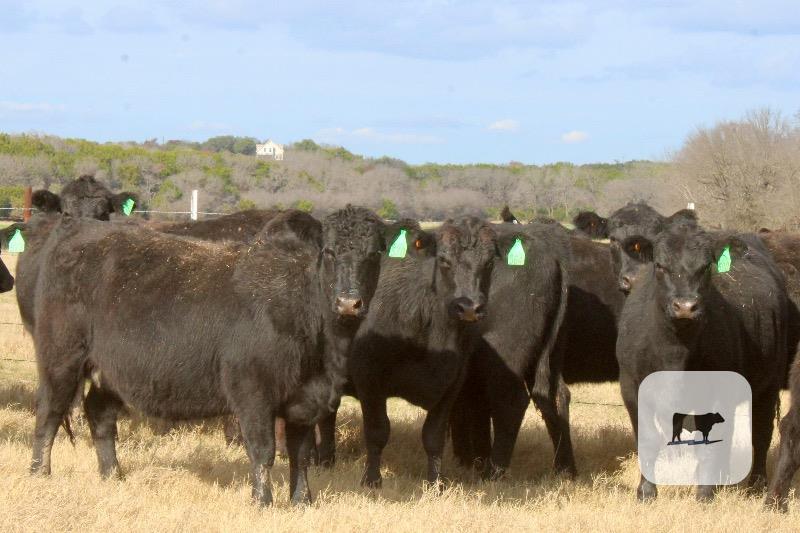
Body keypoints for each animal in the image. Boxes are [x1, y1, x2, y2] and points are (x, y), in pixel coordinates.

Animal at [27, 205, 392, 505]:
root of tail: (79, 226)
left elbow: (300, 454)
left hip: (111, 371)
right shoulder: (253, 392)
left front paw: (302, 502)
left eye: (375, 254)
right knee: (49, 412)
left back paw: (113, 475)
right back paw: (40, 473)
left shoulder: (304, 399)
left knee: (100, 415)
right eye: (329, 252)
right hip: (61, 359)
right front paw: (262, 502)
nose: (349, 303)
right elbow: (263, 451)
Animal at [349, 217, 497, 488]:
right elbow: (377, 431)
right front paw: (372, 481)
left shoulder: (452, 383)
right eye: (444, 260)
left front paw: (436, 483)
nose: (470, 307)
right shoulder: (367, 377)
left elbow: (433, 436)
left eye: (489, 262)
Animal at [449, 221, 576, 480]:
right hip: (548, 355)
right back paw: (565, 469)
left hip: (504, 354)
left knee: (512, 400)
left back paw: (493, 472)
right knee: (555, 396)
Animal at [616, 223, 789, 501]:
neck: (675, 352)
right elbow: (647, 439)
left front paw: (705, 494)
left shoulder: (719, 391)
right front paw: (646, 491)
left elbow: (710, 446)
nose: (686, 306)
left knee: (761, 433)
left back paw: (756, 484)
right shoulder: (631, 387)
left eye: (706, 267)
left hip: (768, 384)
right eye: (660, 265)